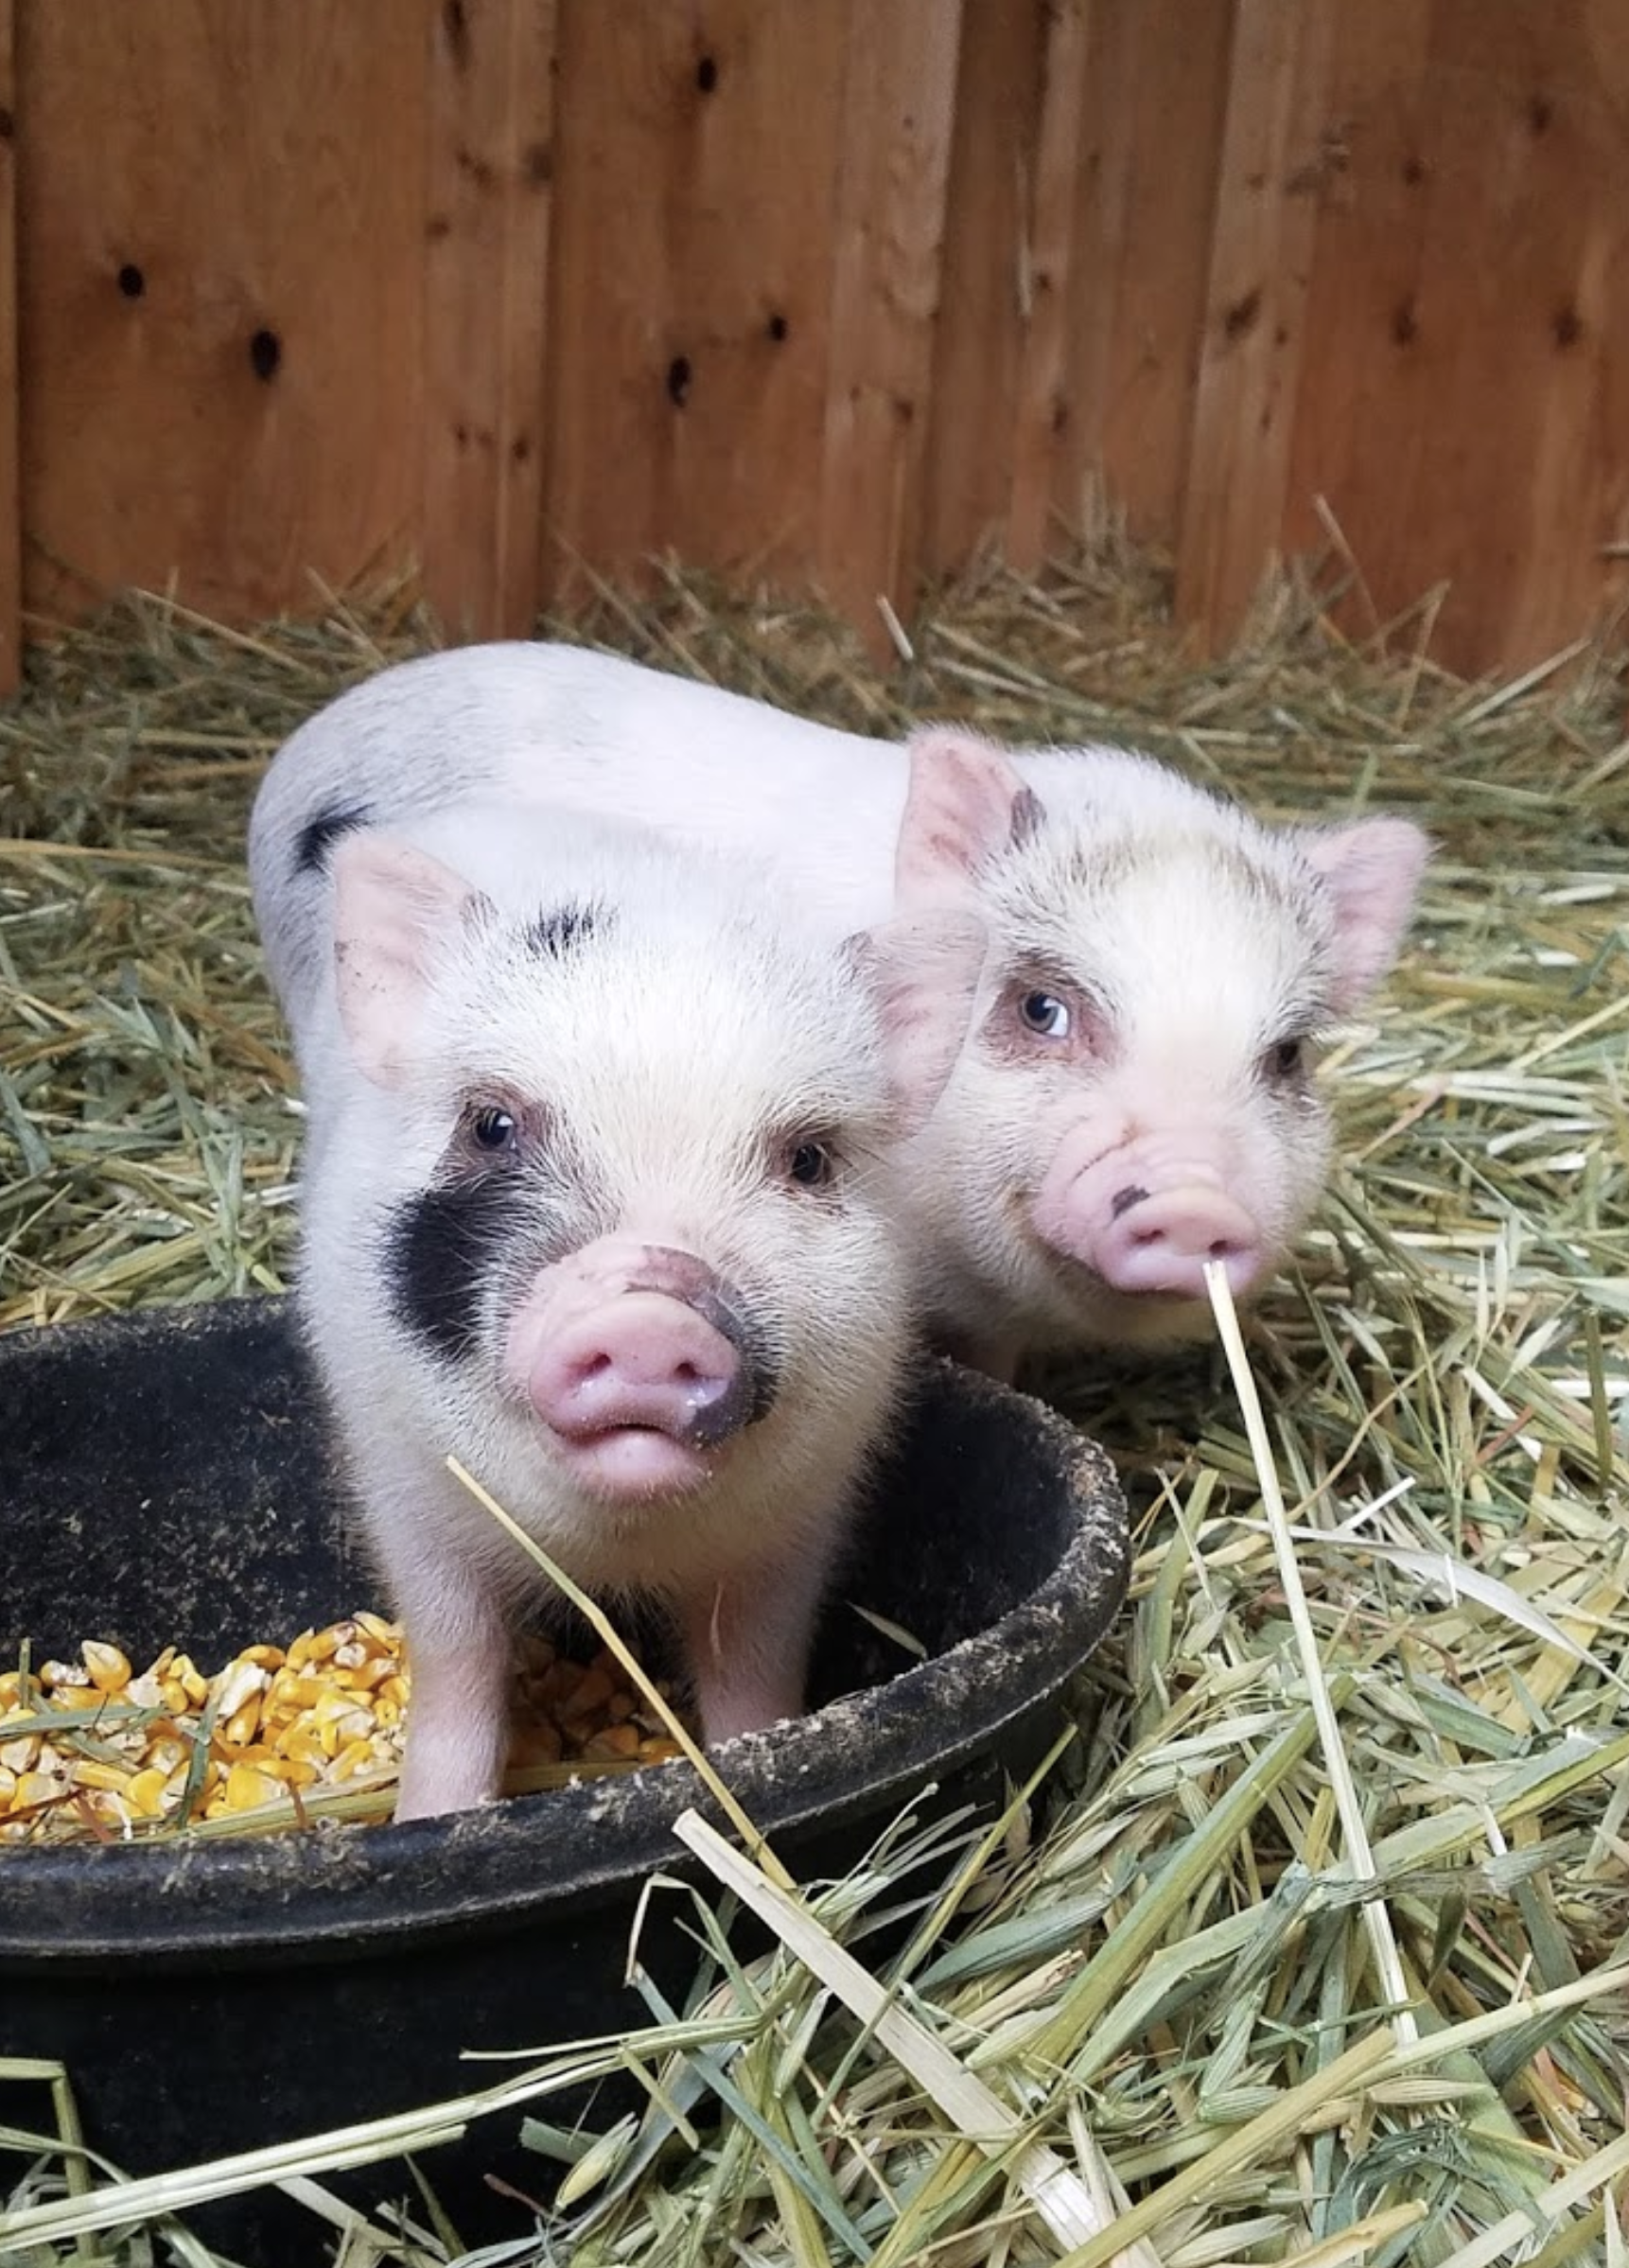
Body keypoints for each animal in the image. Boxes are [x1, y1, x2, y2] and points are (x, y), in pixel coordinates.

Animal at [272, 800, 958, 1819]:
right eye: (491, 1125)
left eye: (809, 1160)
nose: (651, 1311)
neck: (613, 1549)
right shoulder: (406, 1487)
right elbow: (457, 1665)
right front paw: (432, 1820)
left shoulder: (801, 1518)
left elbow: (752, 1661)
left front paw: (764, 1766)